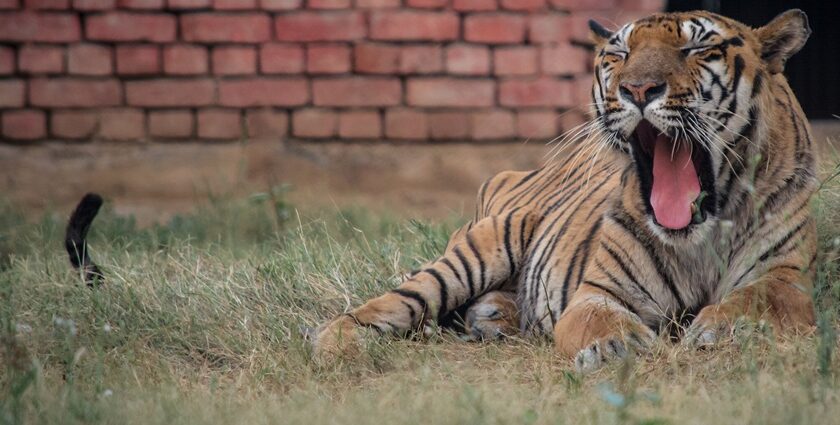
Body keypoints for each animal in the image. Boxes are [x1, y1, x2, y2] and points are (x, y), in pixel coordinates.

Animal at [306, 7, 816, 372]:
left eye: (695, 48)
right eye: (619, 55)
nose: (637, 89)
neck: (698, 235)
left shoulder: (786, 274)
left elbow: (760, 299)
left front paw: (725, 329)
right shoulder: (599, 290)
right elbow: (597, 320)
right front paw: (616, 347)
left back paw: (493, 316)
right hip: (481, 248)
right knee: (401, 298)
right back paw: (335, 344)